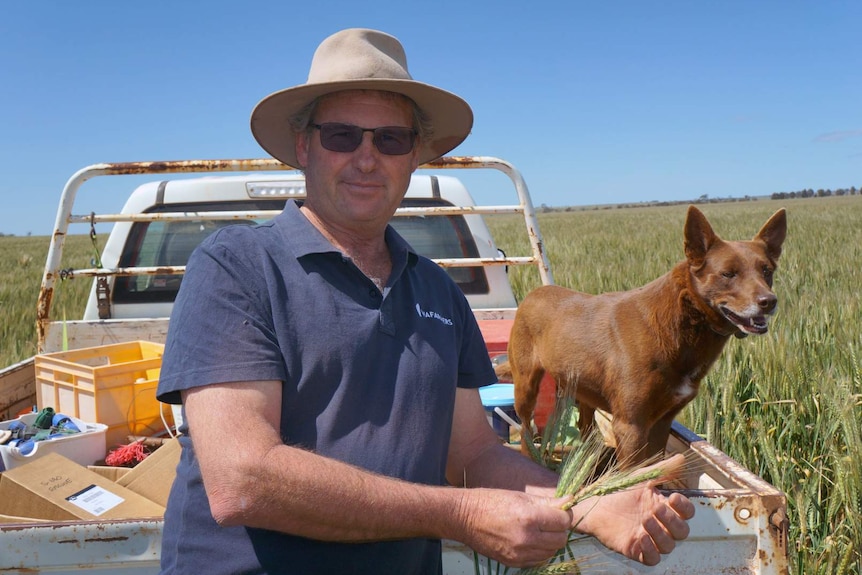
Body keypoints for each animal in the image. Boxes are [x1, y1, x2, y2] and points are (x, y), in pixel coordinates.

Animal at [500, 207, 788, 468]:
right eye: (728, 274)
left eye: (767, 271)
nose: (769, 302)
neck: (679, 324)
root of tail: (534, 293)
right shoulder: (631, 425)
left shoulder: (662, 422)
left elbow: (654, 471)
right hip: (526, 386)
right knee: (526, 429)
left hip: (581, 386)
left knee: (584, 425)